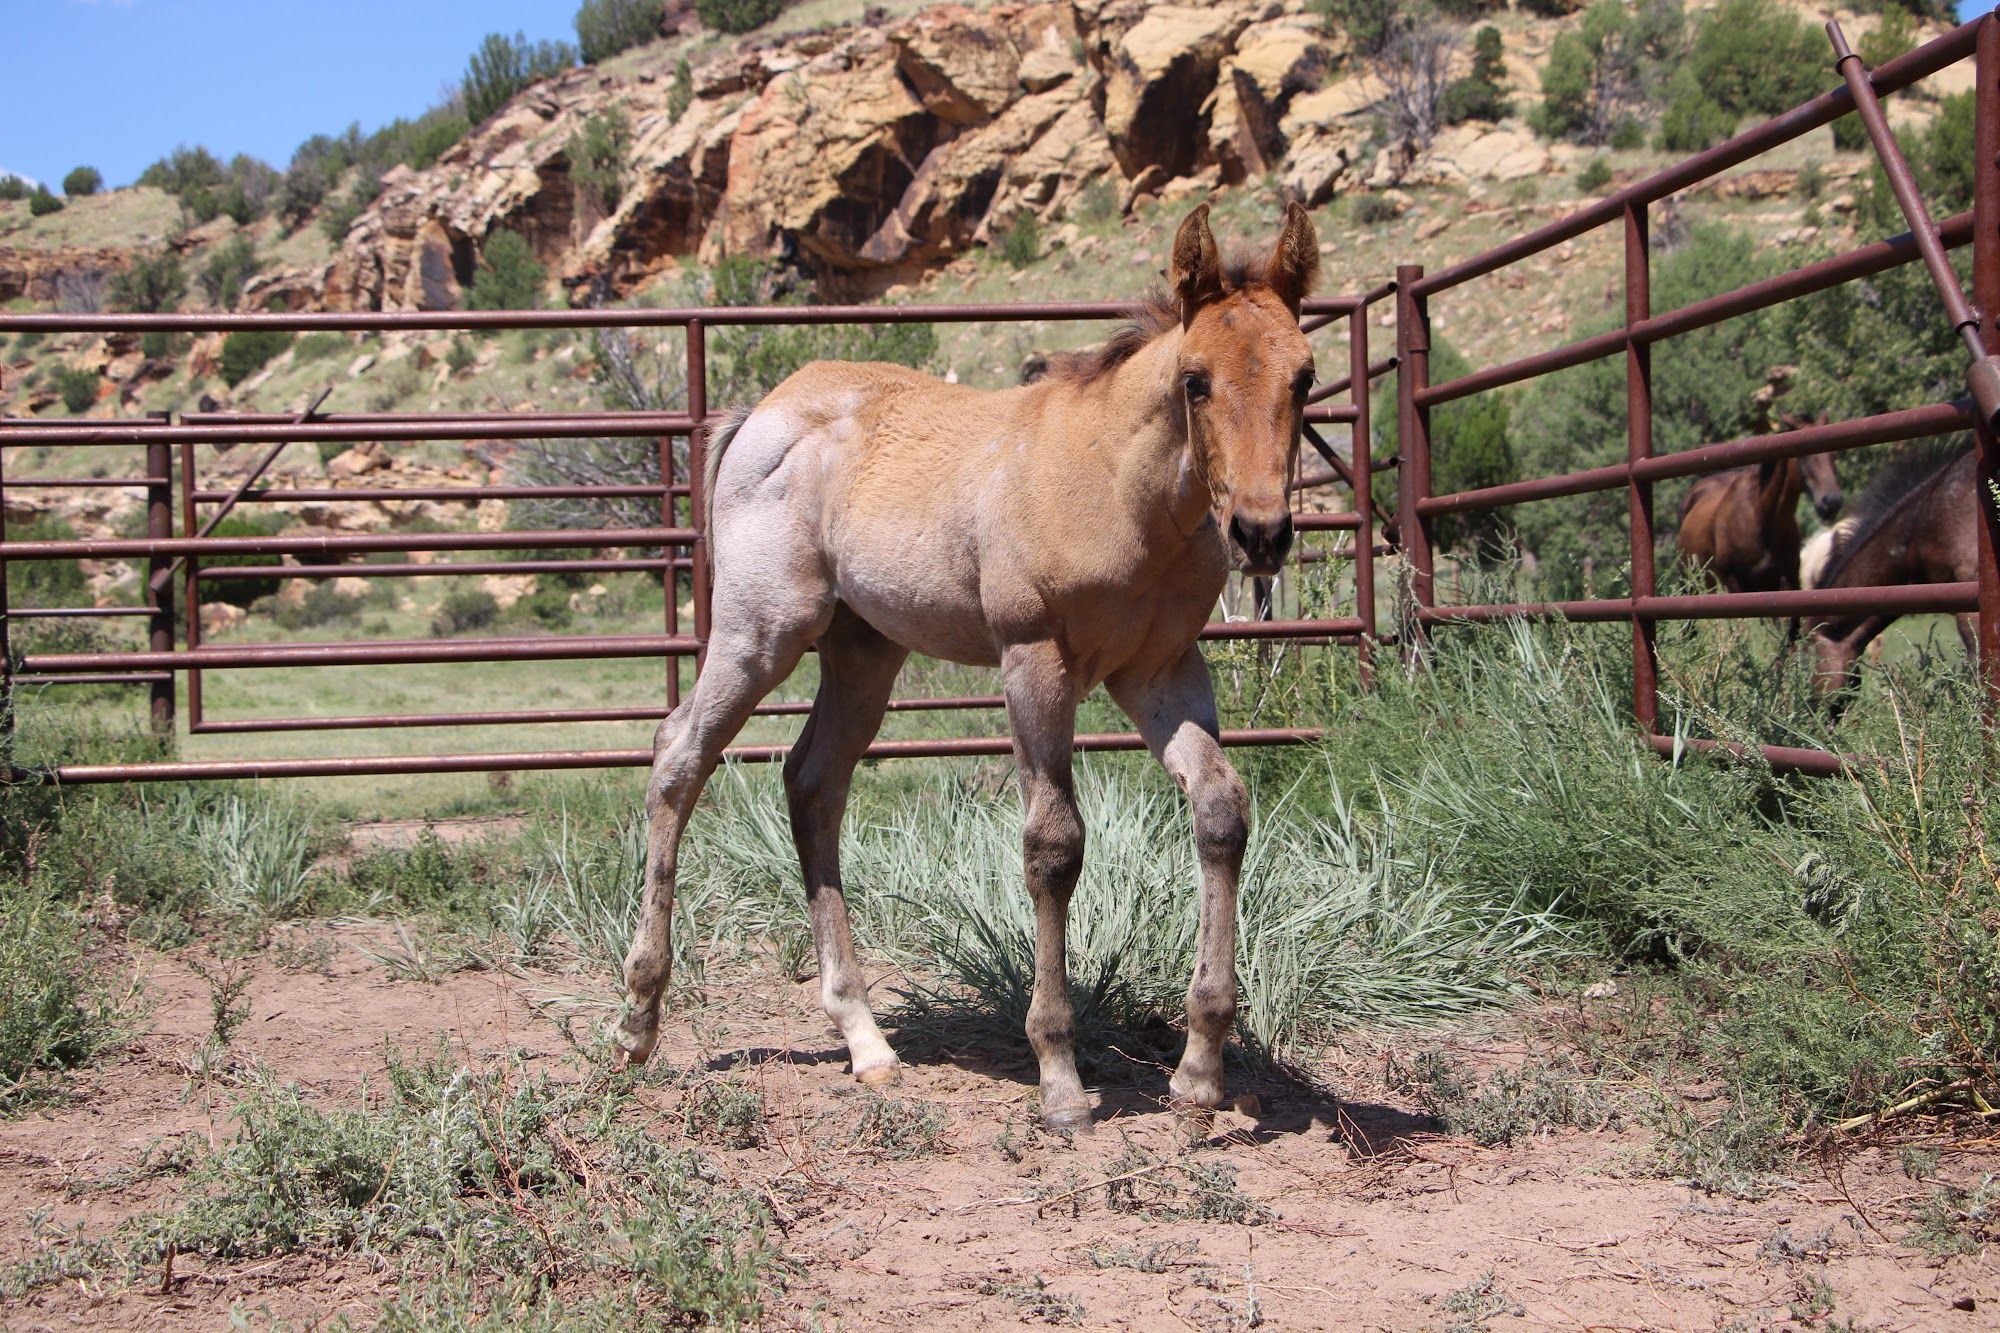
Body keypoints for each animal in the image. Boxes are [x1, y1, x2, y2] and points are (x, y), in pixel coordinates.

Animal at [614, 202, 1322, 1129]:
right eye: (1196, 380)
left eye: (1305, 377)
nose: (1261, 533)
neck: (1119, 486)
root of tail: (760, 412)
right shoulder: (1034, 659)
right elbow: (1054, 844)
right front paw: (1060, 1074)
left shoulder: (1159, 668)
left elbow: (1221, 812)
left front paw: (1200, 1066)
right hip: (757, 630)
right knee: (678, 758)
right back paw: (637, 1019)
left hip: (863, 652)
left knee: (812, 783)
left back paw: (864, 1036)